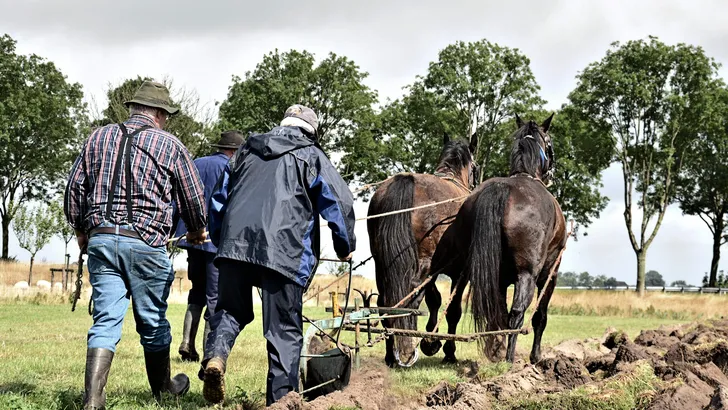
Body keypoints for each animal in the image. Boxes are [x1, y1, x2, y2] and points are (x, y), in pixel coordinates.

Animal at [366, 134, 480, 368]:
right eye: (476, 167)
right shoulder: (459, 271)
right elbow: (453, 309)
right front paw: (447, 350)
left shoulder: (434, 269)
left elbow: (434, 299)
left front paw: (431, 340)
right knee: (410, 299)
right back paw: (408, 349)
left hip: (383, 265)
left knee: (386, 302)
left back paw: (391, 355)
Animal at [426, 113, 568, 364]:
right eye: (550, 144)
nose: (551, 172)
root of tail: (501, 190)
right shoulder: (550, 272)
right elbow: (539, 316)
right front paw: (535, 357)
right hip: (527, 274)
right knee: (517, 313)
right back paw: (509, 358)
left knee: (495, 312)